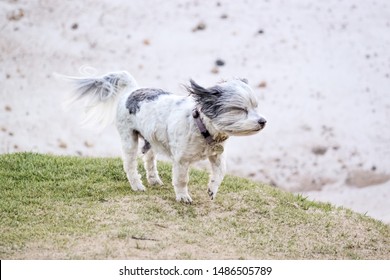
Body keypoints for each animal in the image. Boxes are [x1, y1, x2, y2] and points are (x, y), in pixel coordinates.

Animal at [64, 71, 266, 203]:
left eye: (256, 107)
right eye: (241, 109)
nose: (263, 121)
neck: (200, 126)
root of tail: (132, 90)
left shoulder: (216, 155)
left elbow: (221, 172)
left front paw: (212, 189)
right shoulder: (182, 161)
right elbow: (182, 179)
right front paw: (183, 196)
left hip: (151, 139)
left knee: (149, 158)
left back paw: (154, 179)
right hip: (129, 138)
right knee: (129, 164)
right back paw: (137, 185)